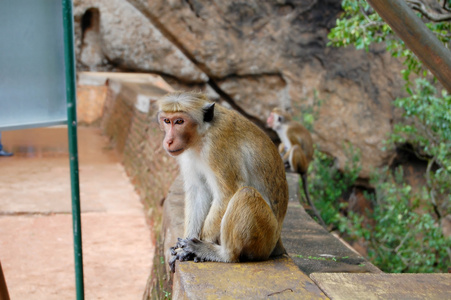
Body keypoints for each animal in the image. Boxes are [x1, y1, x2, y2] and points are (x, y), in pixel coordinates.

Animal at [157, 91, 288, 272]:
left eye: (179, 122)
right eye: (167, 121)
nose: (168, 140)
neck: (202, 134)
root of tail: (278, 242)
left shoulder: (217, 146)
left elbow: (228, 192)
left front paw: (195, 247)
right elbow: (199, 191)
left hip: (266, 238)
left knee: (245, 194)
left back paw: (221, 253)